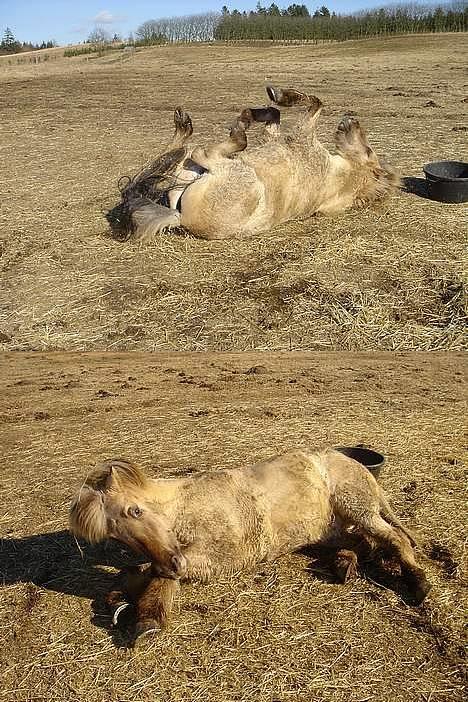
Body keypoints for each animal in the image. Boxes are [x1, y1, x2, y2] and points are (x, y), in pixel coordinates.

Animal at [69, 452, 432, 644]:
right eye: (116, 537)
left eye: (136, 511)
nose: (173, 563)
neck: (188, 506)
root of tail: (355, 465)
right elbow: (139, 569)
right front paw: (119, 598)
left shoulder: (224, 558)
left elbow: (158, 576)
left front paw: (146, 619)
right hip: (331, 530)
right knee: (365, 542)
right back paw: (344, 565)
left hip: (357, 508)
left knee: (393, 539)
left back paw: (417, 582)